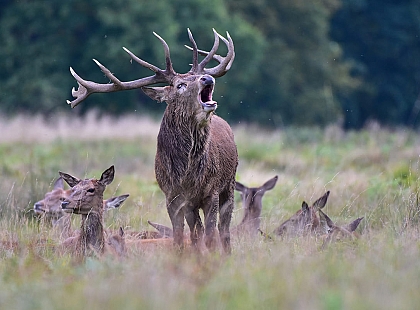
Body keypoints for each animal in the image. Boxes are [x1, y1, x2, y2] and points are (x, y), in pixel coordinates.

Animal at [65, 29, 236, 253]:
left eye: (198, 77)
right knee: (197, 230)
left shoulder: (212, 191)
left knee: (224, 230)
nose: (207, 78)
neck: (187, 174)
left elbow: (210, 235)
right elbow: (181, 235)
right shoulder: (173, 197)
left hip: (229, 185)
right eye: (180, 85)